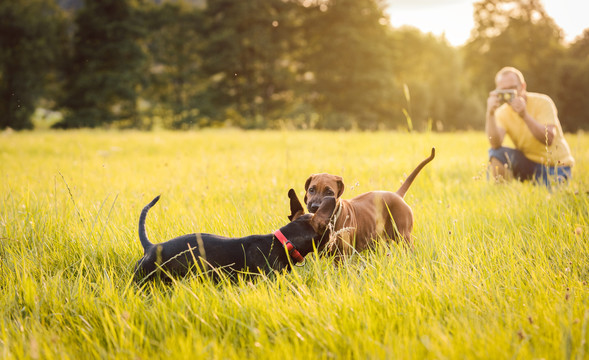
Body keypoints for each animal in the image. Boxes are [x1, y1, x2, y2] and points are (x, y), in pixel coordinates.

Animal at [296, 148, 434, 255]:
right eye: (311, 190)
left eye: (329, 192)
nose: (315, 207)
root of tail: (397, 195)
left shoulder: (343, 254)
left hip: (404, 235)